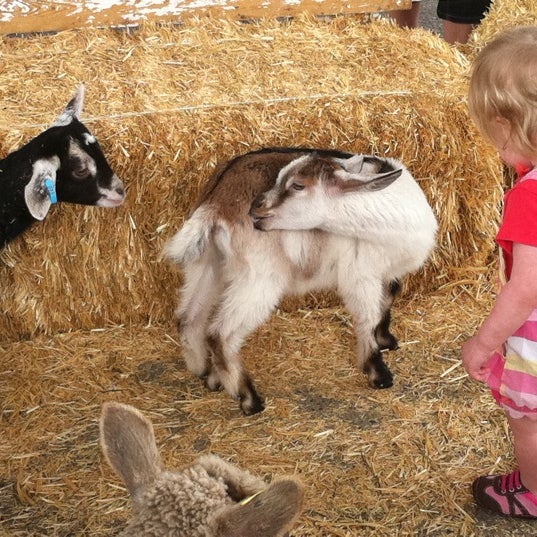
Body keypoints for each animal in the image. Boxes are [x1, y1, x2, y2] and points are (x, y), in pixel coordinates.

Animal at [165, 147, 438, 414]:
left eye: (297, 185)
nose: (256, 207)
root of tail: (217, 201)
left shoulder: (388, 271)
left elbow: (388, 300)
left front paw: (386, 340)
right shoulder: (361, 274)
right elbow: (368, 317)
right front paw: (378, 373)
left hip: (208, 263)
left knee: (189, 318)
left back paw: (208, 375)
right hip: (259, 277)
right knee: (220, 333)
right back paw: (249, 399)